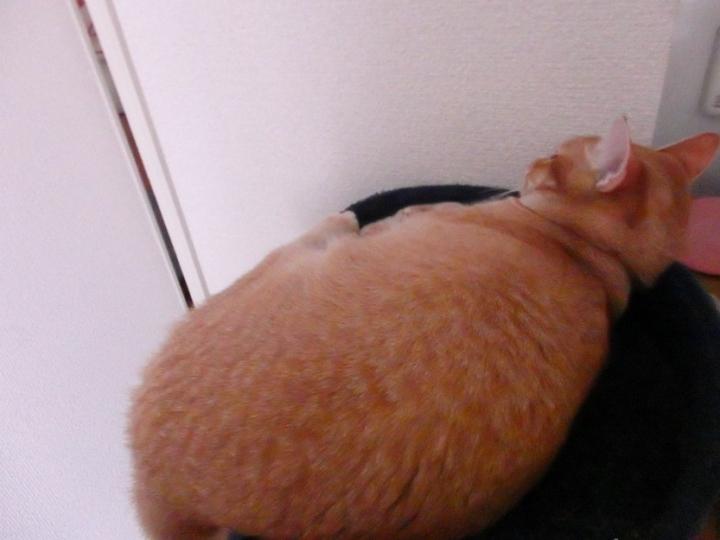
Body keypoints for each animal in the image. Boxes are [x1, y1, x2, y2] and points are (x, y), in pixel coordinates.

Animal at [129, 118, 719, 539]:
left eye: (553, 157)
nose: (533, 158)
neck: (591, 258)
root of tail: (176, 491)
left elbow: (415, 211)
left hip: (281, 267)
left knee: (323, 232)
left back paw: (343, 220)